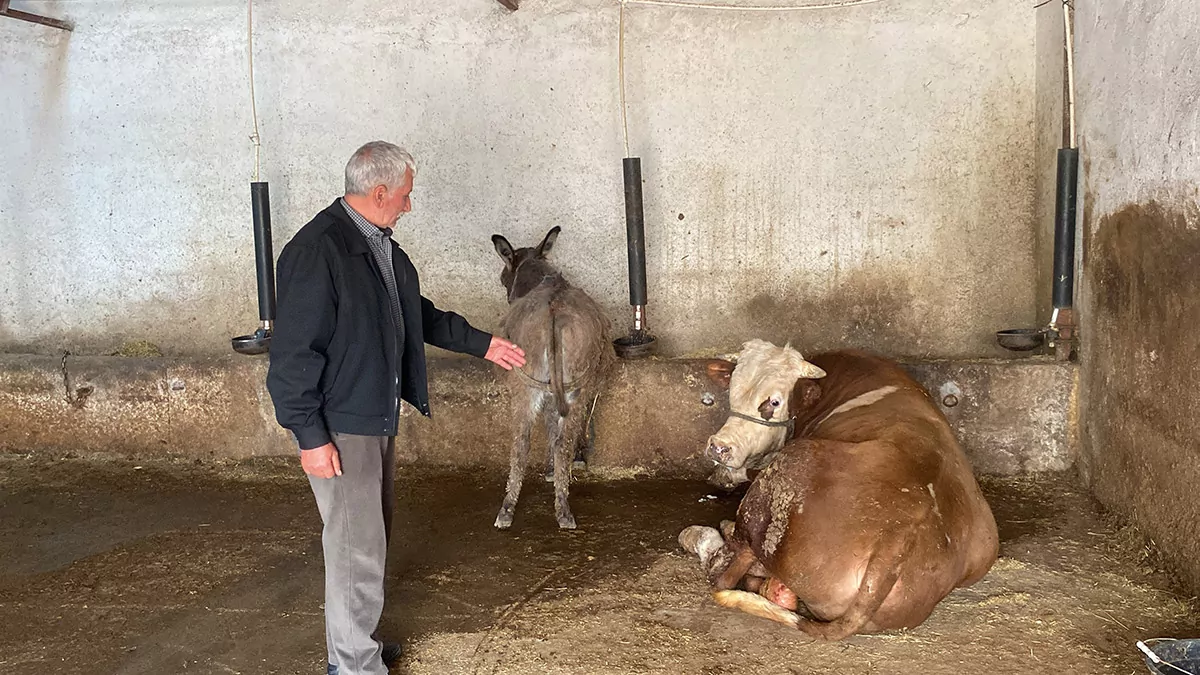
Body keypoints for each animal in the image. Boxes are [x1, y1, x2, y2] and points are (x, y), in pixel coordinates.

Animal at [681, 338, 998, 638]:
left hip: (781, 476)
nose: (719, 447)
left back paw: (705, 534)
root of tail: (899, 535)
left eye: (773, 402)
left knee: (726, 570)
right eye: (733, 392)